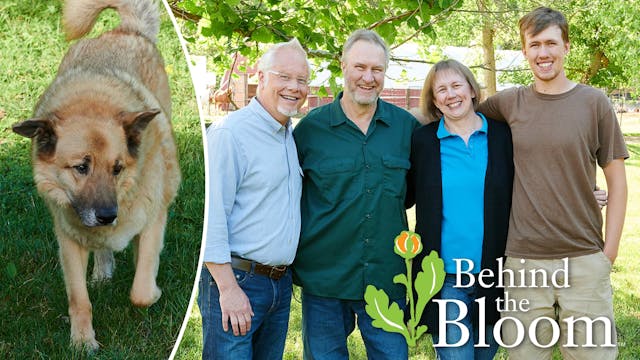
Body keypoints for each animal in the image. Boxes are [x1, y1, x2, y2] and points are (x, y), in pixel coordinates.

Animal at [11, 0, 180, 350]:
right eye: (80, 167)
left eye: (118, 168)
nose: (107, 215)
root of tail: (126, 31)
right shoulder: (68, 240)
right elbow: (79, 299)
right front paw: (81, 341)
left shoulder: (154, 219)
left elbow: (141, 291)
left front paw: (154, 290)